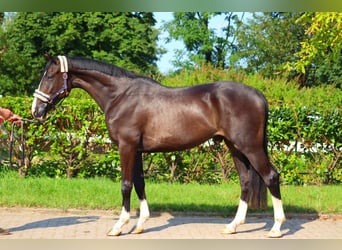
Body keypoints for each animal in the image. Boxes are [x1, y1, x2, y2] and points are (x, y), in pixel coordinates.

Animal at [31, 55, 286, 237]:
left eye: (50, 76)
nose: (36, 111)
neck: (120, 96)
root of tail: (258, 95)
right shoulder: (137, 150)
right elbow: (139, 183)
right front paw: (140, 224)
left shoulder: (126, 147)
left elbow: (126, 185)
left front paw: (119, 226)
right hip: (235, 147)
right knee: (245, 181)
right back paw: (233, 226)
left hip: (250, 147)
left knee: (271, 176)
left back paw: (276, 228)